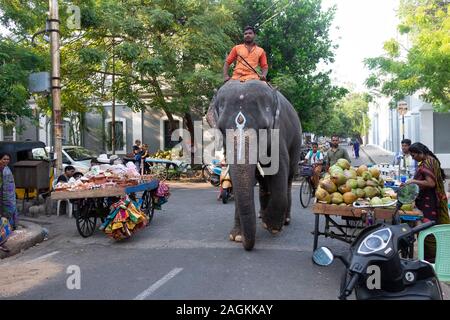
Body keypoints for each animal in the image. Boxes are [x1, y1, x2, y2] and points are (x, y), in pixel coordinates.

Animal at [207, 79, 302, 250]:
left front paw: (273, 227)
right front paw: (237, 236)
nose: (246, 244)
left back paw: (284, 221)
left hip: (296, 144)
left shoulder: (278, 136)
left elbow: (279, 174)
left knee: (288, 179)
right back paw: (262, 216)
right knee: (263, 183)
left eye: (264, 128)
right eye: (221, 129)